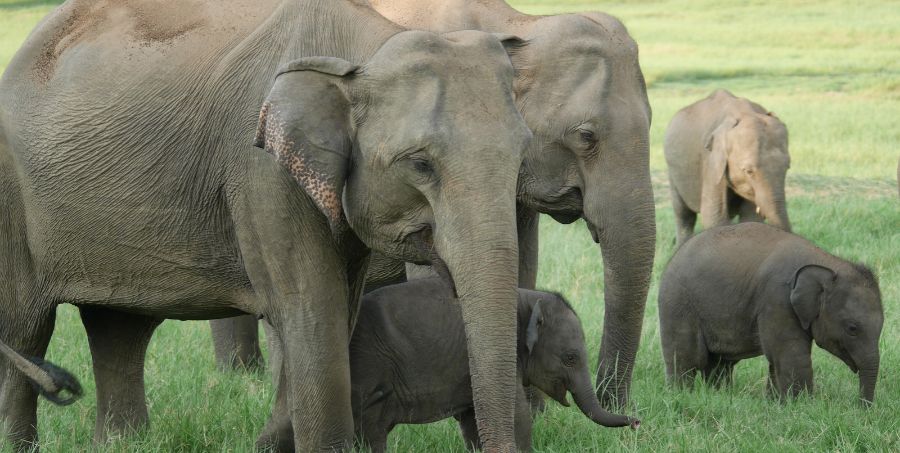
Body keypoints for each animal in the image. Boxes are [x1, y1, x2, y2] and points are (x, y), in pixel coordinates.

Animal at [0, 0, 533, 450]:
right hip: (11, 197)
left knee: (119, 328)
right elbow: (313, 312)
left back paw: (121, 443)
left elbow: (338, 310)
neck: (366, 47)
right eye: (420, 164)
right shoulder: (262, 171)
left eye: (522, 153)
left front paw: (272, 438)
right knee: (26, 328)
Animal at [213, 0, 658, 410]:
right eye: (586, 136)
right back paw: (242, 376)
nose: (621, 410)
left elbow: (522, 264)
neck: (518, 23)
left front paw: (533, 410)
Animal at [349, 278, 639, 453]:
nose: (637, 421)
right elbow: (518, 414)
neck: (526, 298)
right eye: (570, 358)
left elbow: (472, 420)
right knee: (372, 432)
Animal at [658, 223, 883, 405]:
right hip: (677, 304)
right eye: (852, 328)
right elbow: (790, 354)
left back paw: (718, 396)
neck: (826, 262)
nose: (862, 408)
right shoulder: (777, 300)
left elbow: (778, 359)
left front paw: (777, 404)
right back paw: (681, 396)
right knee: (687, 359)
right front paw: (802, 406)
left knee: (719, 364)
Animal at [665, 89, 791, 246]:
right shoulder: (711, 160)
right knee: (683, 215)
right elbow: (713, 216)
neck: (744, 112)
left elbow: (750, 217)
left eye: (787, 167)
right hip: (672, 172)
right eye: (748, 171)